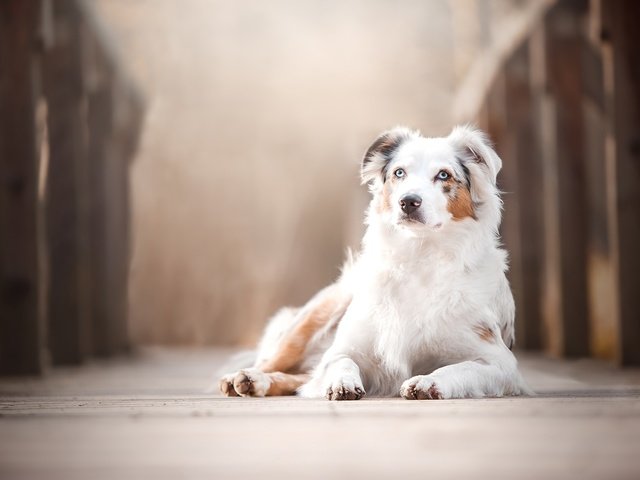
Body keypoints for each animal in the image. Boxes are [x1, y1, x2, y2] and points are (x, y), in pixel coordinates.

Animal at [220, 125, 528, 400]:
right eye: (399, 173)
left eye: (444, 175)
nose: (408, 201)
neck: (418, 255)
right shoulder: (343, 348)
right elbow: (341, 361)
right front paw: (342, 383)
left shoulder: (499, 362)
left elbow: (458, 368)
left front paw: (428, 382)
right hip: (312, 318)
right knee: (273, 362)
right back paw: (248, 377)